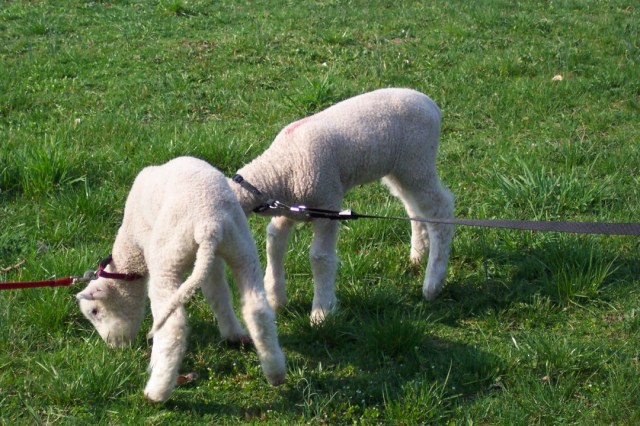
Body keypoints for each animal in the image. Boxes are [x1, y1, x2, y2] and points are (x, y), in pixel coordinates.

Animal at [76, 156, 286, 403]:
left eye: (95, 311)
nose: (113, 347)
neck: (131, 251)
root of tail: (209, 225)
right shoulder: (211, 260)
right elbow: (217, 294)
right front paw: (232, 334)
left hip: (168, 259)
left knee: (173, 326)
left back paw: (156, 390)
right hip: (242, 248)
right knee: (258, 311)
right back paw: (275, 372)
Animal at [231, 88, 455, 324]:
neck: (277, 169)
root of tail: (431, 105)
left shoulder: (327, 203)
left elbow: (320, 257)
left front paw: (322, 312)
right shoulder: (288, 209)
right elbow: (274, 241)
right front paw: (275, 298)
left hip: (418, 162)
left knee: (440, 209)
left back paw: (432, 283)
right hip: (400, 170)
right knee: (414, 207)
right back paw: (418, 255)